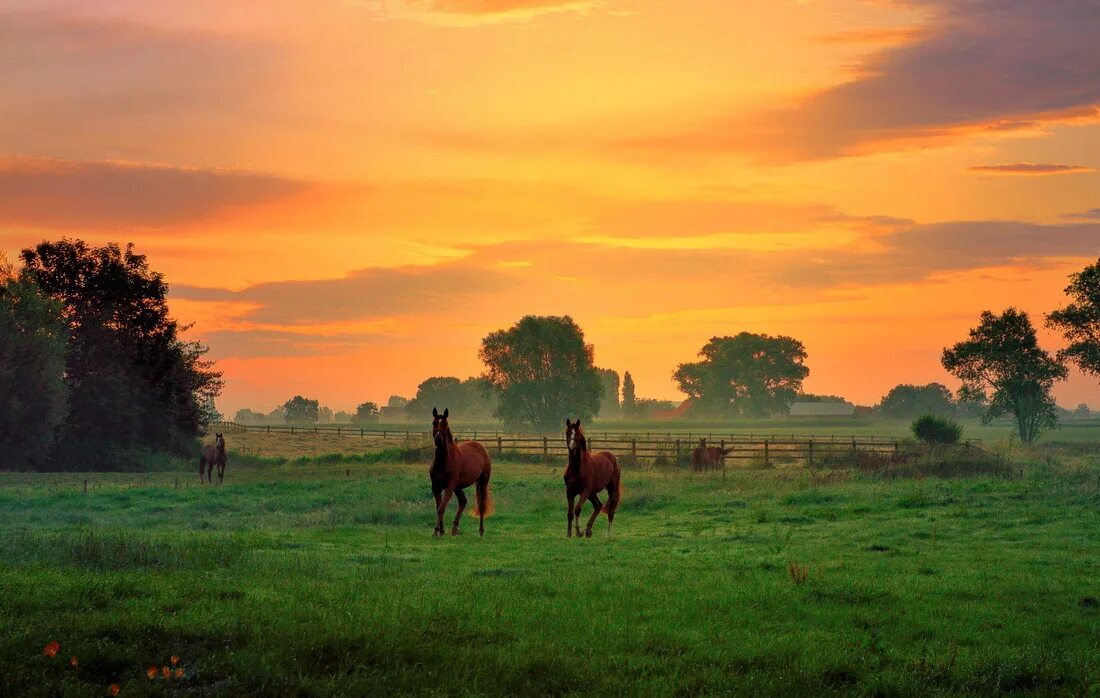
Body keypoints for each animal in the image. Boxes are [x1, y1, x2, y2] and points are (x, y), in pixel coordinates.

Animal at [426, 406, 492, 538]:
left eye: (445, 423)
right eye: (434, 423)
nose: (438, 440)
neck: (444, 461)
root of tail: (482, 448)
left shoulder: (450, 486)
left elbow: (442, 508)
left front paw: (436, 530)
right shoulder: (436, 487)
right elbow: (439, 507)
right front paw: (441, 531)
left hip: (482, 482)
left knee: (481, 505)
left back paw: (481, 531)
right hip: (458, 486)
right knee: (463, 502)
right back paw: (454, 529)